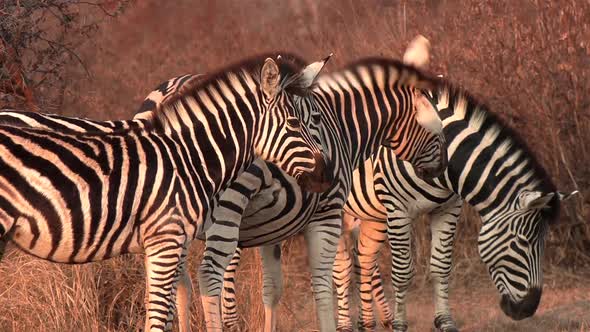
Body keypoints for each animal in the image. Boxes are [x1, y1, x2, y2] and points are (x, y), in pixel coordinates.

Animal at [0, 54, 332, 332]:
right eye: (295, 123)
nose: (325, 175)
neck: (188, 156)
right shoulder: (166, 239)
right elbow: (161, 317)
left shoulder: (162, 244)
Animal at [338, 77, 584, 330]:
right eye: (521, 243)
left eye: (543, 243)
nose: (528, 309)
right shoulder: (398, 210)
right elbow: (402, 272)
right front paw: (399, 325)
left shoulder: (448, 209)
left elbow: (441, 267)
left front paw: (445, 322)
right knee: (341, 267)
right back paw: (345, 324)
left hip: (371, 214)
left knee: (364, 259)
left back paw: (368, 322)